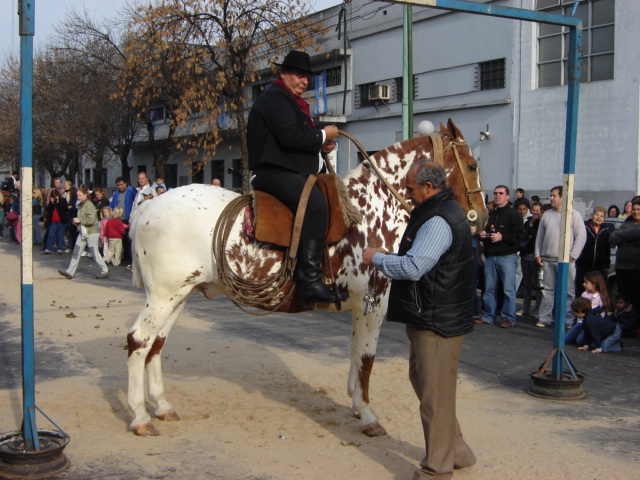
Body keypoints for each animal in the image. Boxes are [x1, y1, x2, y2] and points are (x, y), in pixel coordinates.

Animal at [127, 118, 488, 436]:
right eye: (472, 166)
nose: (482, 218)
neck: (368, 210)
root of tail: (149, 206)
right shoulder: (372, 301)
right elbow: (367, 357)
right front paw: (368, 415)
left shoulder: (360, 304)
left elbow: (356, 353)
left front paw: (356, 404)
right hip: (163, 296)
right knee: (139, 340)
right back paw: (140, 416)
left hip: (180, 294)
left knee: (157, 344)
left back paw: (161, 406)